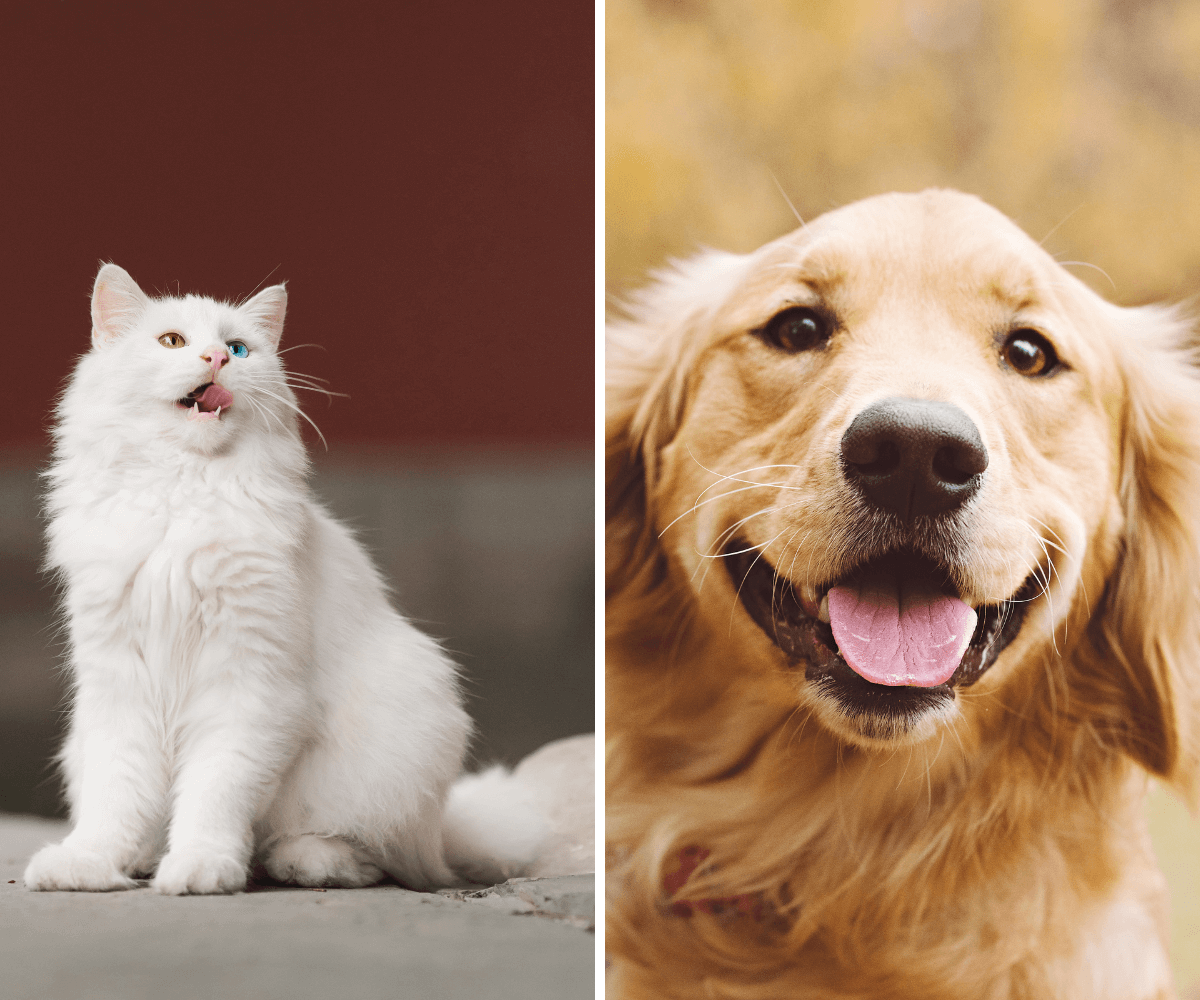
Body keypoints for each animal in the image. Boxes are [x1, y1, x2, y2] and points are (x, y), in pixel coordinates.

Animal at [22, 261, 477, 893]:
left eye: (239, 348)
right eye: (172, 341)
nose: (217, 358)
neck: (181, 493)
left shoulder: (247, 683)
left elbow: (215, 794)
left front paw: (201, 867)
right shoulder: (120, 681)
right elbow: (117, 797)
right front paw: (89, 863)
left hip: (402, 735)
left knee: (359, 851)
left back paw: (305, 862)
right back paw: (144, 860)